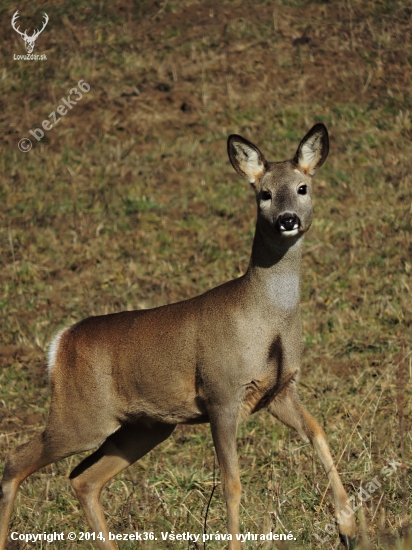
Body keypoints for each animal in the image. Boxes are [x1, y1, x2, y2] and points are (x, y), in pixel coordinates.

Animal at [0, 125, 354, 550]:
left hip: (145, 426)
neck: (267, 319)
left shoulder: (279, 391)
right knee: (15, 461)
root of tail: (60, 343)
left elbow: (318, 433)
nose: (287, 219)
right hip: (80, 417)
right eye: (264, 193)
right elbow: (232, 483)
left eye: (303, 187)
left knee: (82, 478)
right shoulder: (221, 393)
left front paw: (350, 525)